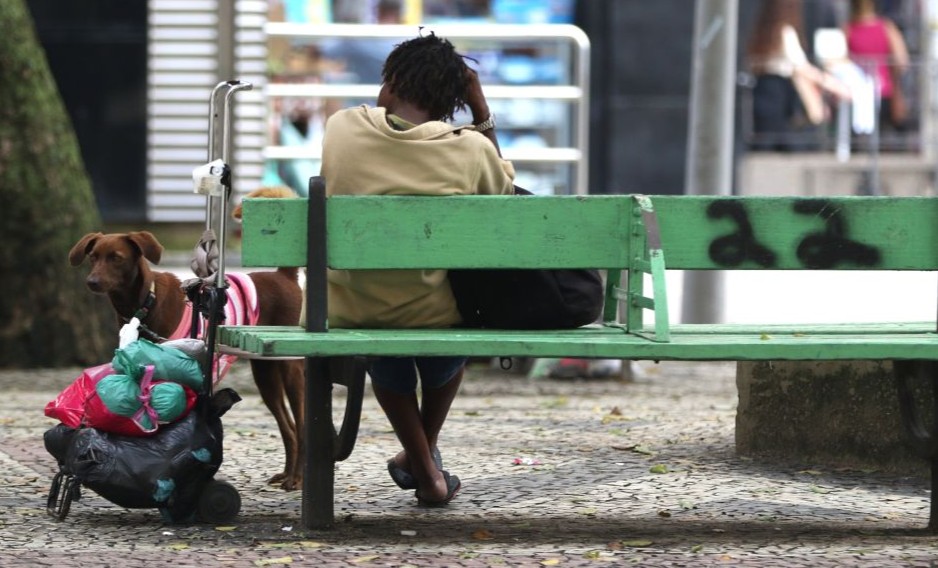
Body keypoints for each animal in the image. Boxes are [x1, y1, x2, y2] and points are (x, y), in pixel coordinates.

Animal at [70, 202, 304, 490]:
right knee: (288, 427)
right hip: (265, 374)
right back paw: (287, 473)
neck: (145, 302)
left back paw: (296, 477)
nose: (92, 281)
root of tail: (285, 276)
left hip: (291, 368)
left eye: (116, 257)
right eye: (93, 256)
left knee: (302, 424)